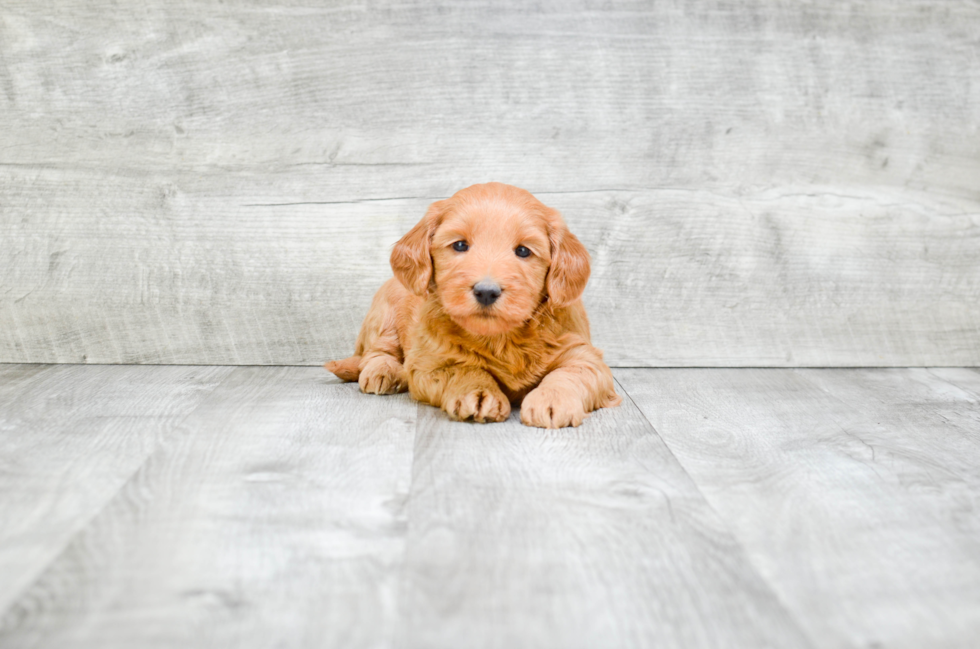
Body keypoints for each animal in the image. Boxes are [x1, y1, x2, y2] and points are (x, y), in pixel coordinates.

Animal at [328, 180, 620, 428]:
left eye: (523, 251)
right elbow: (463, 368)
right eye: (460, 245)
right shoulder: (430, 361)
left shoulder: (582, 352)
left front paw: (551, 399)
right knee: (376, 351)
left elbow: (570, 373)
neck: (502, 339)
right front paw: (479, 392)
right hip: (385, 309)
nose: (487, 292)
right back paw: (385, 371)